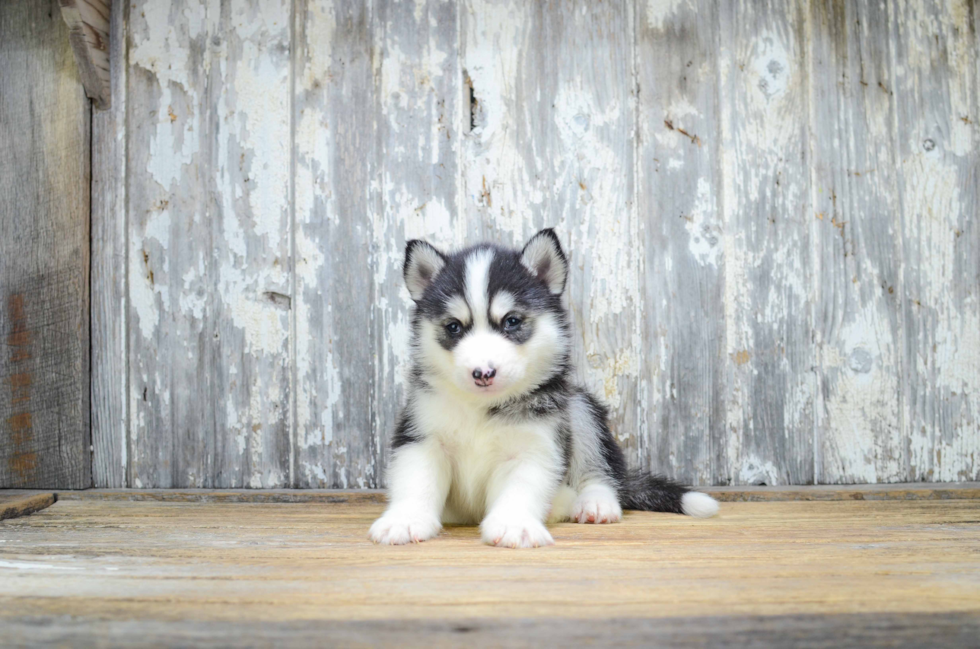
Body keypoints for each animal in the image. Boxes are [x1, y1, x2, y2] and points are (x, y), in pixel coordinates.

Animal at [370, 228, 720, 548]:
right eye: (454, 327)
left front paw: (514, 524)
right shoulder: (421, 436)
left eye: (511, 321)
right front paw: (405, 520)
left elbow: (521, 487)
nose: (483, 373)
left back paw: (595, 502)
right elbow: (417, 481)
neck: (482, 407)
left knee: (600, 471)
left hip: (578, 406)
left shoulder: (535, 445)